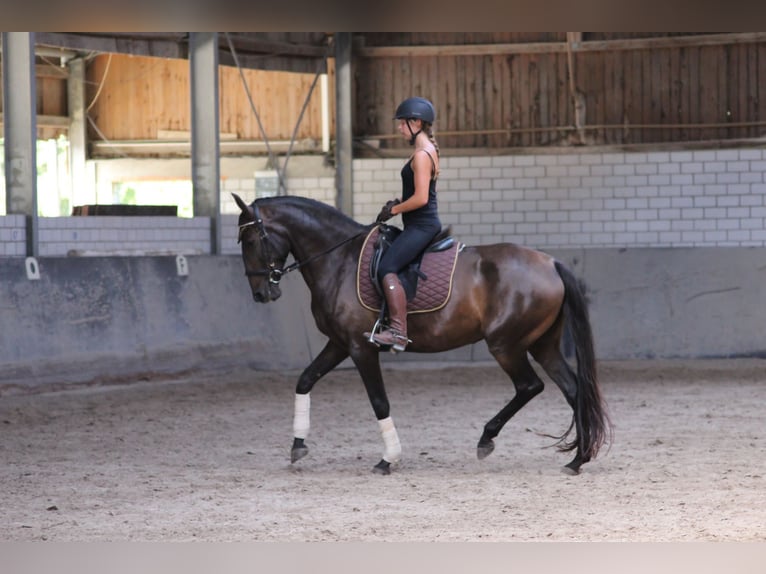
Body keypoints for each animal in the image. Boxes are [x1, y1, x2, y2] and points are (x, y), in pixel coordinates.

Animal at [232, 195, 612, 476]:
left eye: (250, 240)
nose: (261, 294)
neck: (339, 260)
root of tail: (551, 263)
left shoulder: (360, 347)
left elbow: (379, 401)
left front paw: (389, 459)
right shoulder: (339, 344)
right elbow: (305, 379)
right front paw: (298, 445)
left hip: (506, 345)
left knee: (529, 386)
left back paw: (487, 439)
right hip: (542, 344)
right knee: (573, 389)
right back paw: (576, 460)